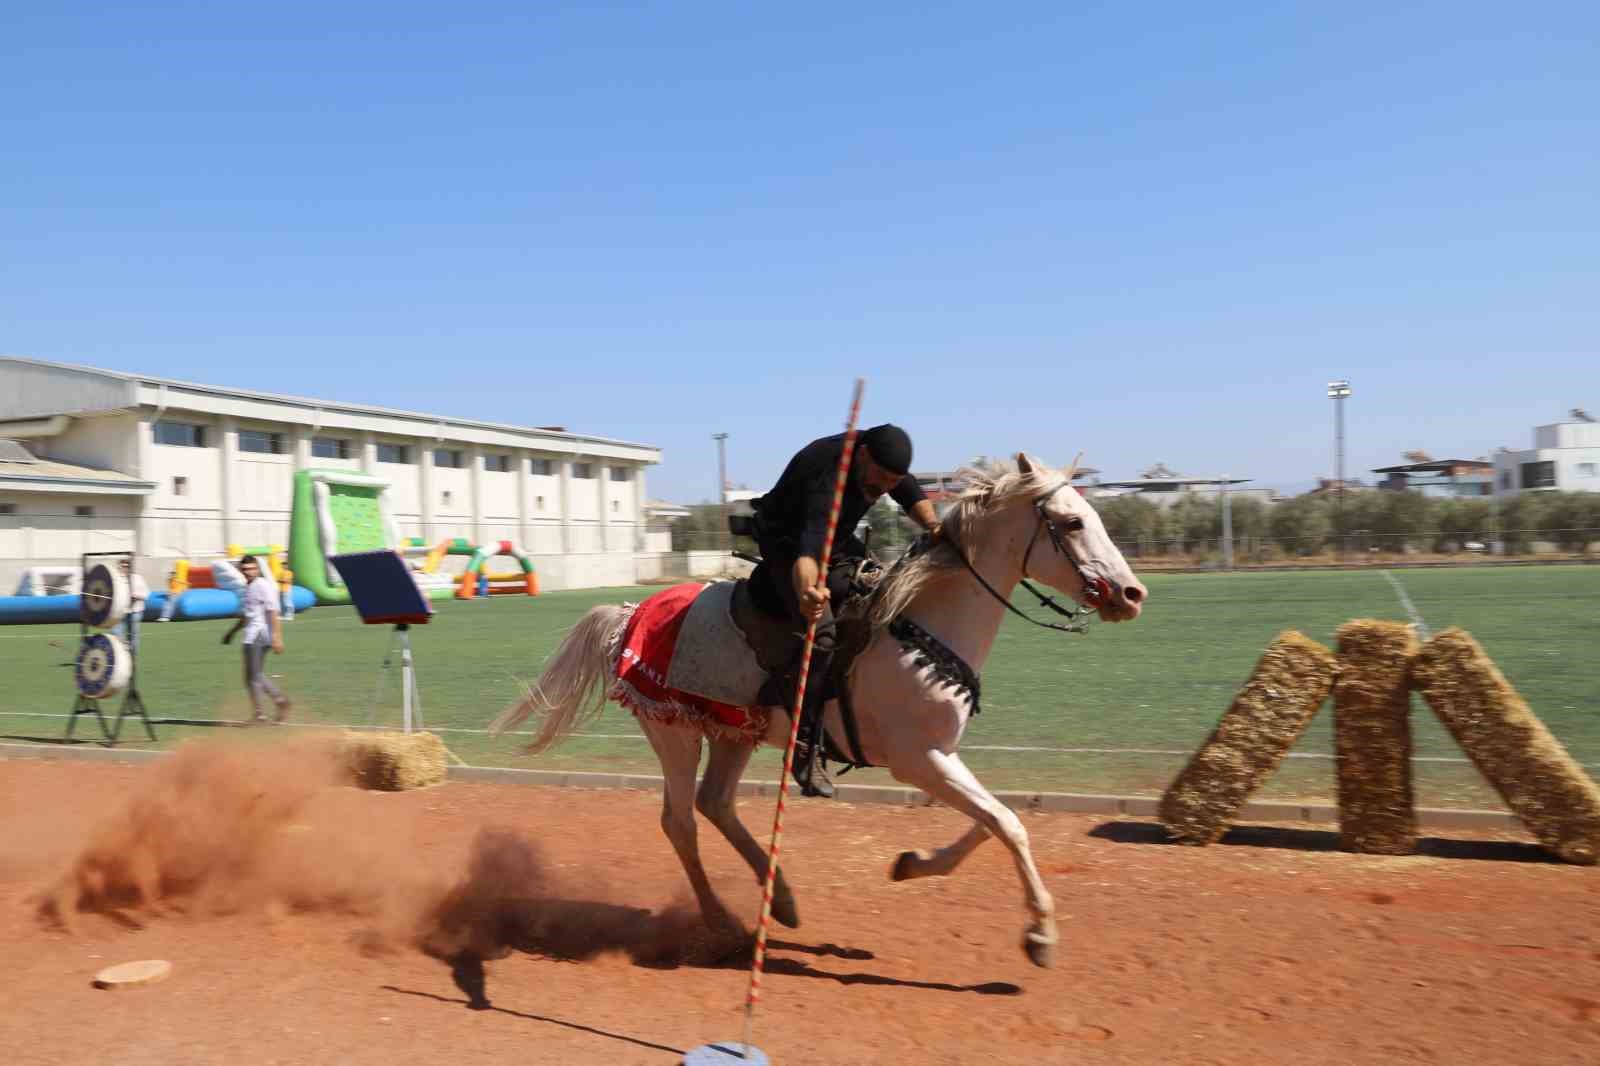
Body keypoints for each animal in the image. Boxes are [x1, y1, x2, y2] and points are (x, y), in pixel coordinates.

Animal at [492, 451, 1145, 966]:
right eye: (1072, 521)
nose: (1131, 593)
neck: (918, 626)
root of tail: (628, 613)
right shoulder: (918, 759)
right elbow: (1006, 823)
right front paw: (1040, 934)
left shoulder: (941, 755)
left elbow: (992, 820)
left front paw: (913, 863)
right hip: (672, 729)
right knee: (680, 821)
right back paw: (723, 921)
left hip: (732, 730)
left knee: (715, 803)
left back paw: (781, 900)